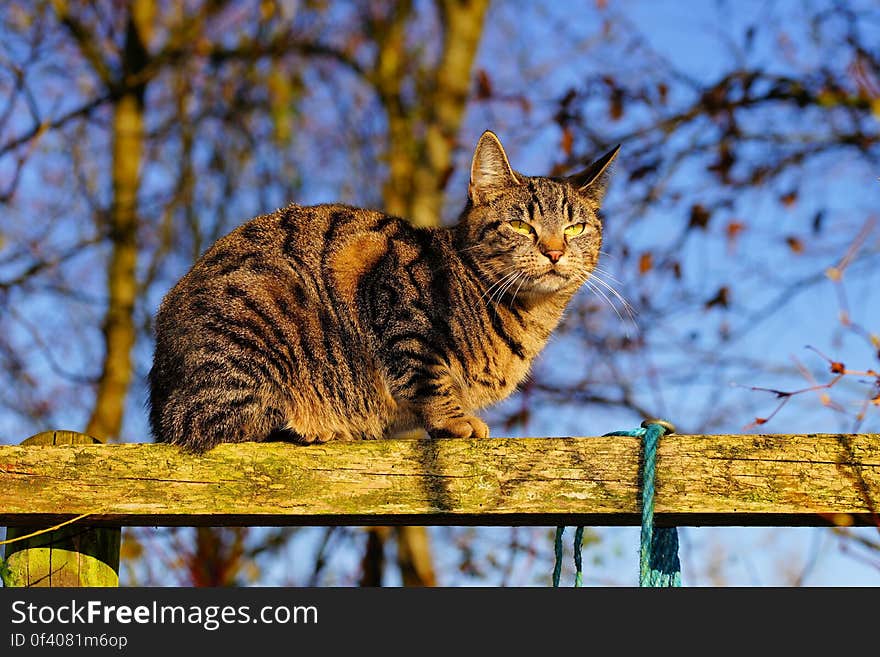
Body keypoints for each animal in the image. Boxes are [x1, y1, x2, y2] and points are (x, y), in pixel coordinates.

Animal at [148, 133, 620, 452]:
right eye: (521, 225)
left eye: (575, 227)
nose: (555, 251)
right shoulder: (396, 303)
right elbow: (427, 377)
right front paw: (455, 420)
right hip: (258, 316)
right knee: (214, 422)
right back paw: (317, 427)